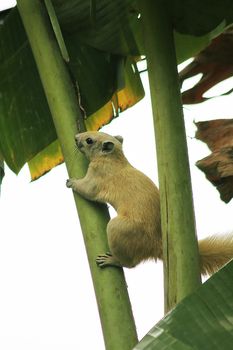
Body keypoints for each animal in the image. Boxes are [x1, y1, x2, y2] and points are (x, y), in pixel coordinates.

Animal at [66, 131, 233, 276]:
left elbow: (87, 189)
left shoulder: (97, 176)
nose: (75, 137)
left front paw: (71, 182)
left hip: (118, 228)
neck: (114, 159)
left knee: (130, 264)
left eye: (89, 140)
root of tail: (155, 245)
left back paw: (111, 260)